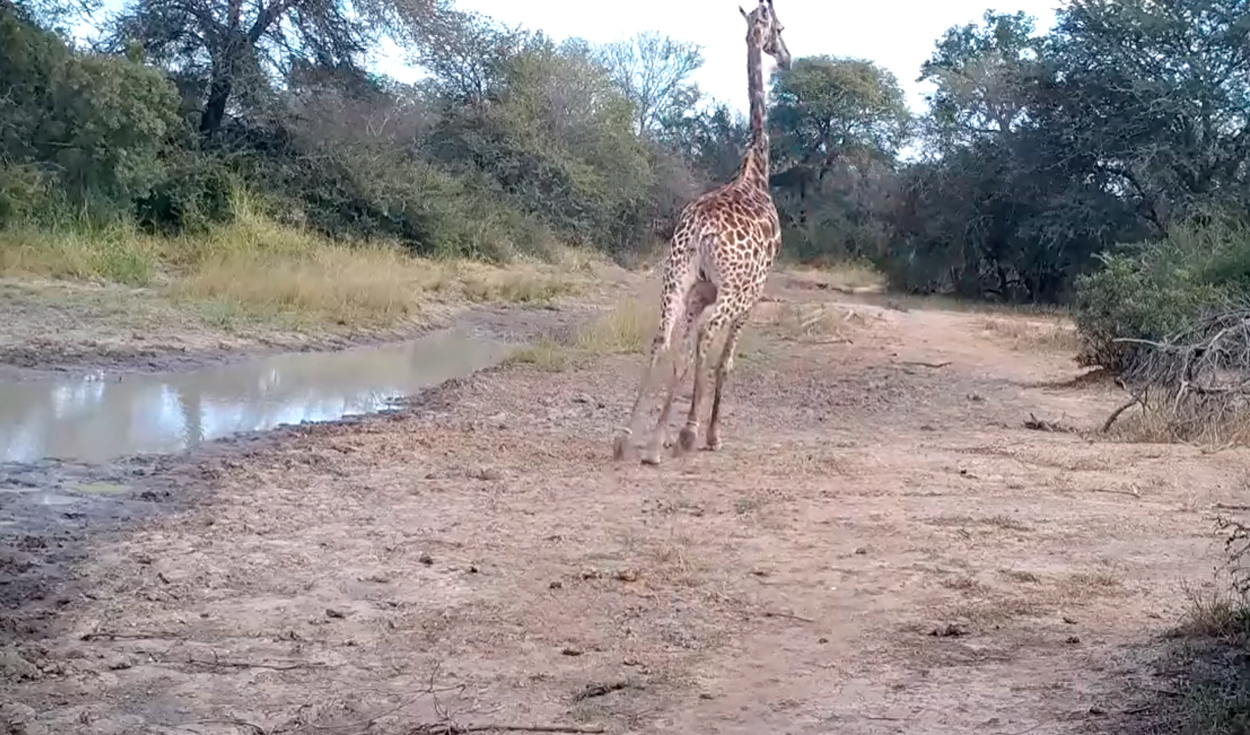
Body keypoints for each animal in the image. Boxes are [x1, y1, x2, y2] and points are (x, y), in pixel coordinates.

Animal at [613, 0, 791, 466]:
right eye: (780, 28)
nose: (787, 57)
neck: (756, 171)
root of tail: (699, 232)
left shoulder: (698, 290)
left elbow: (680, 350)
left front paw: (660, 432)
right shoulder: (753, 293)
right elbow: (722, 359)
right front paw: (707, 434)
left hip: (676, 275)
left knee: (662, 337)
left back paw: (629, 438)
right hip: (733, 290)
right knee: (707, 337)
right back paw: (683, 437)